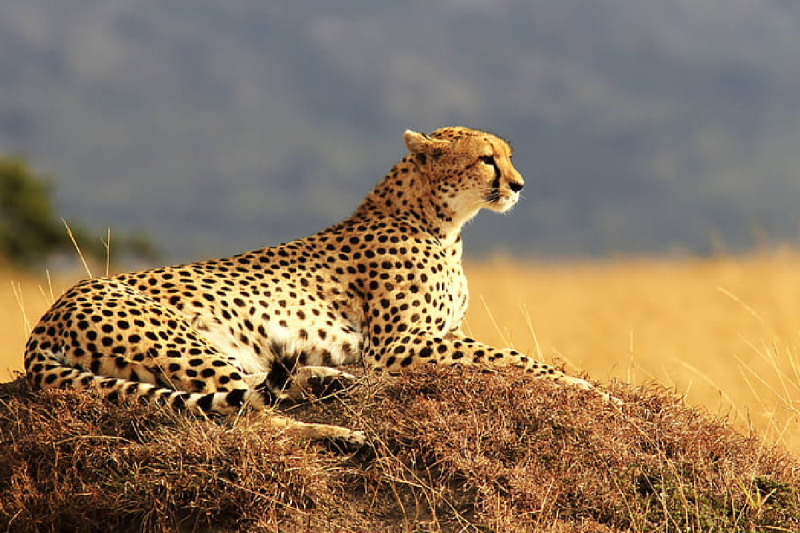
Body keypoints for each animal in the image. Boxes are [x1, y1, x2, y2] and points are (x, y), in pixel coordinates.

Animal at [24, 126, 609, 446]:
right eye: (487, 159)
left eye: (507, 155)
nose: (519, 185)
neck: (438, 221)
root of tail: (48, 316)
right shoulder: (401, 346)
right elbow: (513, 358)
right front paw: (589, 390)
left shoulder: (430, 338)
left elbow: (507, 355)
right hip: (183, 342)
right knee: (246, 416)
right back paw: (343, 432)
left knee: (259, 389)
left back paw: (333, 384)